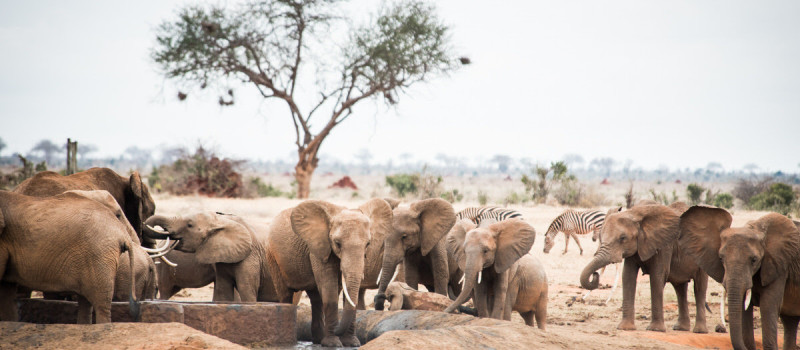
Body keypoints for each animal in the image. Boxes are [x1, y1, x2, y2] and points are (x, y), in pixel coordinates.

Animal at [0, 190, 139, 324]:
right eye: (119, 214)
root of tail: (121, 232)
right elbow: (6, 292)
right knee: (86, 302)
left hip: (99, 255)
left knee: (100, 305)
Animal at [266, 198, 394, 348]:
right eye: (337, 243)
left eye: (368, 244)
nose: (337, 328)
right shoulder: (319, 247)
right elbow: (329, 288)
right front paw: (334, 344)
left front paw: (352, 343)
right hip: (272, 257)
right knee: (286, 295)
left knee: (316, 298)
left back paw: (318, 340)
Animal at [580, 202, 680, 330]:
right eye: (601, 237)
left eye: (623, 238)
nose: (595, 274)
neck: (634, 213)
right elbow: (628, 275)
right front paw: (625, 328)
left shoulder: (664, 244)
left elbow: (657, 276)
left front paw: (655, 329)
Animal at [676, 205, 800, 350]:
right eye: (721, 258)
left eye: (754, 260)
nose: (722, 327)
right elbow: (744, 309)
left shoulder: (778, 266)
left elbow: (767, 305)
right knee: (790, 321)